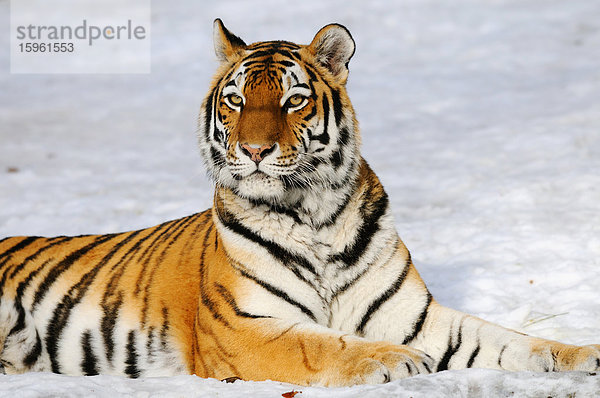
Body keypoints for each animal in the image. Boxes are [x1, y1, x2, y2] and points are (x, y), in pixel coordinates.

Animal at [1, 18, 600, 386]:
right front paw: (399, 360)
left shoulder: (410, 314)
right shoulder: (244, 328)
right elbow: (324, 346)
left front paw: (581, 355)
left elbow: (507, 340)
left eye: (293, 100)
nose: (254, 150)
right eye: (236, 100)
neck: (315, 216)